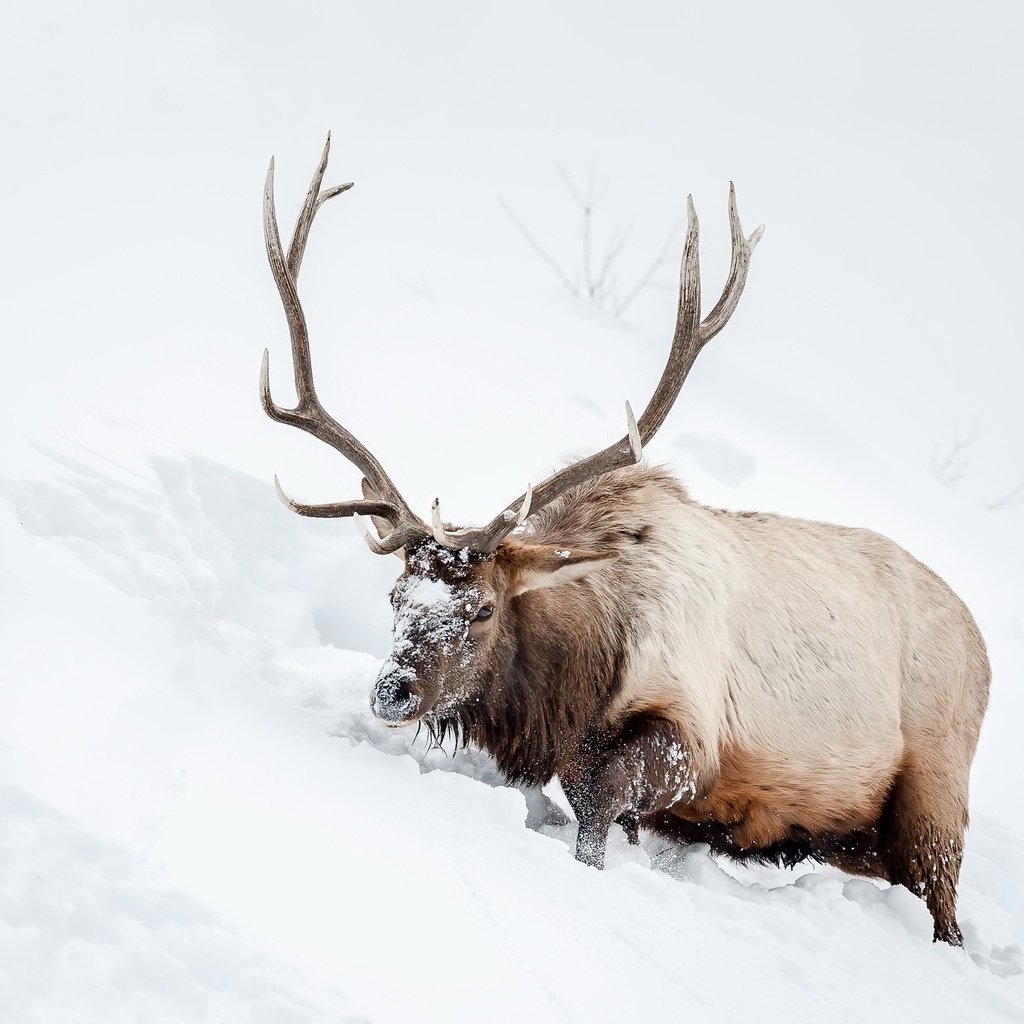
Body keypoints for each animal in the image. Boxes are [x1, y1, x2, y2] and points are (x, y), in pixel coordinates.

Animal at [258, 134, 991, 942]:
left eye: (483, 609)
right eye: (395, 596)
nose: (394, 690)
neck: (573, 684)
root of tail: (982, 640)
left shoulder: (690, 735)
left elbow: (598, 809)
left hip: (936, 791)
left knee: (946, 908)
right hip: (856, 835)